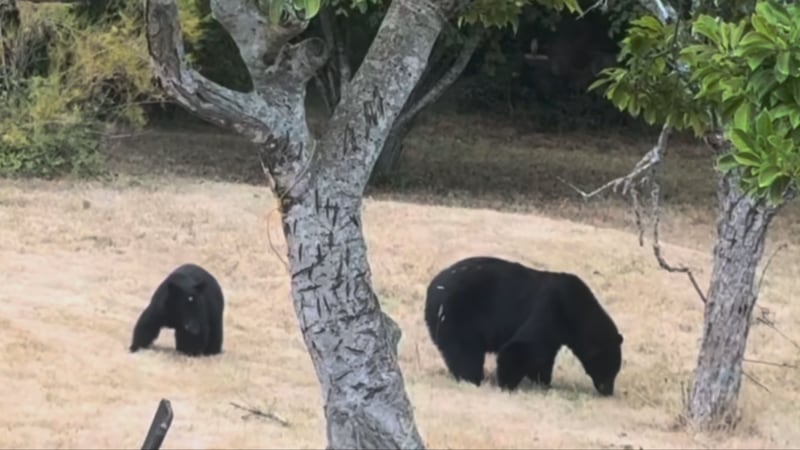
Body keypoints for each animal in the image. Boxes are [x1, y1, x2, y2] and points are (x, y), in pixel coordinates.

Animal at [424, 256, 623, 396]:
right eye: (611, 369)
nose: (608, 391)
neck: (576, 311)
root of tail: (432, 289)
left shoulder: (556, 332)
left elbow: (544, 356)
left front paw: (544, 381)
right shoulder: (550, 309)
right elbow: (522, 346)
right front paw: (508, 384)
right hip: (458, 314)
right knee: (465, 350)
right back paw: (472, 378)